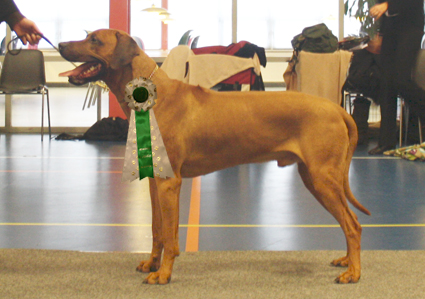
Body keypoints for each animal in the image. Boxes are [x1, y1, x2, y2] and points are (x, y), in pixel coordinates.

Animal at [58, 29, 370, 286]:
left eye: (94, 40)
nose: (60, 44)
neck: (151, 94)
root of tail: (336, 108)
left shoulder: (170, 182)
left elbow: (170, 234)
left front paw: (164, 274)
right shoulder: (155, 180)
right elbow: (157, 229)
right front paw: (152, 263)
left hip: (322, 178)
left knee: (353, 225)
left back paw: (354, 272)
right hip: (315, 177)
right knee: (348, 222)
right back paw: (346, 261)